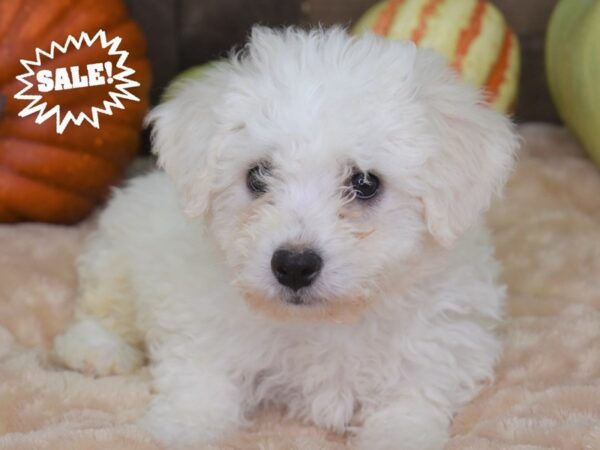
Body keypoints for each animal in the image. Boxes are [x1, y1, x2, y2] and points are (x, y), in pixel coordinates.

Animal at [54, 26, 516, 448]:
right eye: (258, 176)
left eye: (365, 183)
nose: (294, 265)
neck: (327, 322)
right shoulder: (205, 332)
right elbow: (201, 388)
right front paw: (183, 429)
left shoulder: (434, 354)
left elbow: (408, 410)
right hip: (117, 256)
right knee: (102, 307)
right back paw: (96, 350)